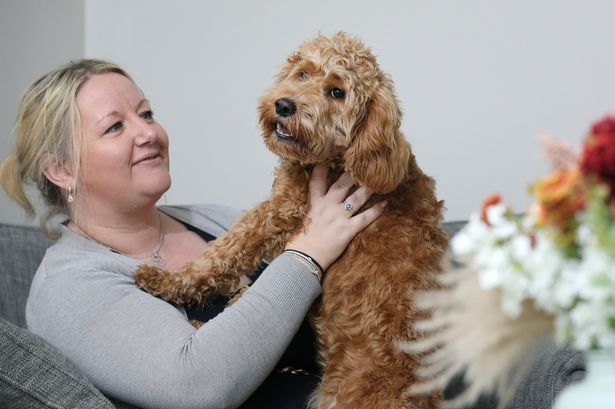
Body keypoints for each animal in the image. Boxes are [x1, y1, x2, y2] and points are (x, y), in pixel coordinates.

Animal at [135, 32, 448, 408]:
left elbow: (224, 251)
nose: (284, 105)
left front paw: (165, 280)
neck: (346, 158)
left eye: (337, 92)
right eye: (303, 73)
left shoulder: (284, 210)